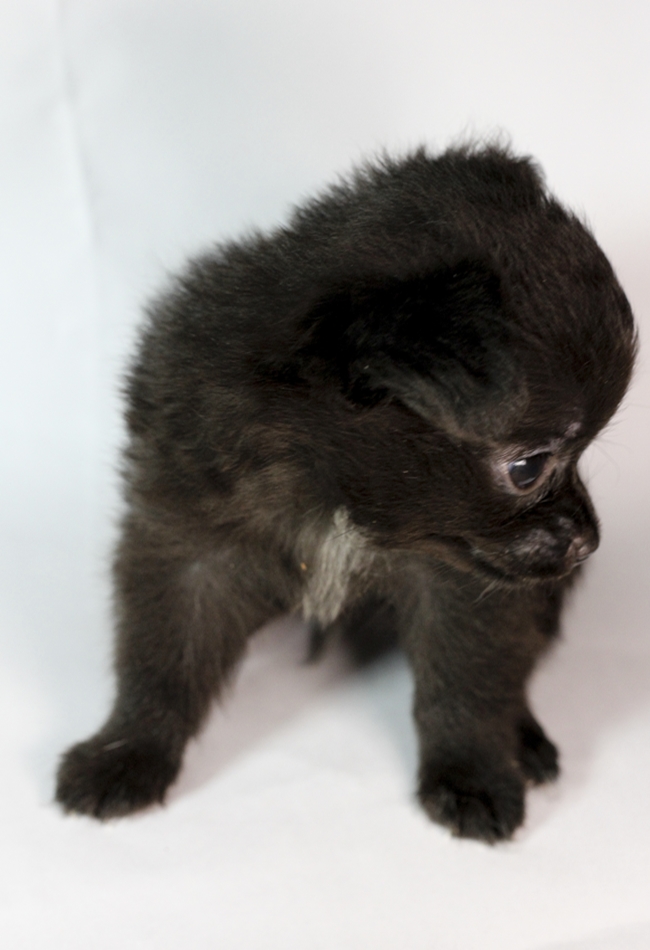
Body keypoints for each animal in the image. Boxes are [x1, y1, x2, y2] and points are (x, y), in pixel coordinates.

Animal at [55, 144, 636, 842]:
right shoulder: (186, 536)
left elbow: (468, 682)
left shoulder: (464, 586)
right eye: (528, 468)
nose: (590, 540)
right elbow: (163, 655)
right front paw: (126, 753)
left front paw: (471, 773)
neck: (332, 490)